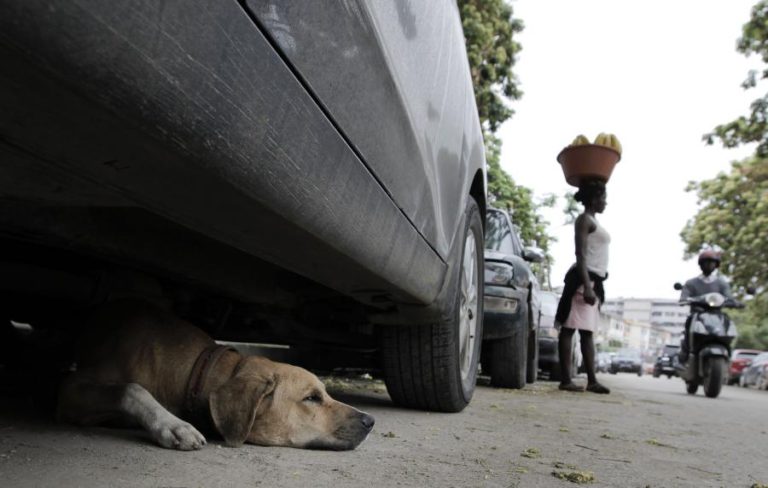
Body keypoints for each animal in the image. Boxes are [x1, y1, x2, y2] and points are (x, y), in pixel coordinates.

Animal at [57, 300, 376, 452]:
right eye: (311, 398)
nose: (370, 421)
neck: (197, 370)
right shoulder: (71, 389)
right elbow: (132, 388)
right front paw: (172, 424)